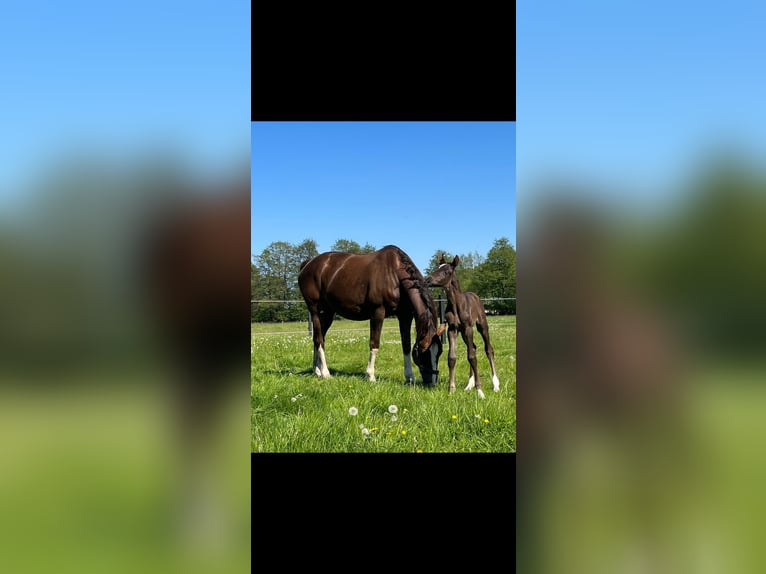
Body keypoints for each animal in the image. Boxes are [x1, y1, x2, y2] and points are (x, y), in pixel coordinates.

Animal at [298, 246, 448, 388]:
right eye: (424, 351)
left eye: (439, 352)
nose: (432, 382)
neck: (394, 274)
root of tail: (308, 264)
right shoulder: (378, 312)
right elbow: (374, 343)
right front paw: (370, 376)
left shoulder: (405, 316)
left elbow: (406, 345)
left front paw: (410, 377)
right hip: (315, 310)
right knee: (319, 339)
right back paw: (325, 373)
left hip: (328, 312)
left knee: (318, 338)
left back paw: (317, 370)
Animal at [426, 254, 504, 398]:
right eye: (437, 268)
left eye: (447, 271)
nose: (427, 280)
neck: (456, 304)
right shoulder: (452, 329)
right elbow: (452, 357)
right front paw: (452, 389)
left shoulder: (468, 328)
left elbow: (472, 357)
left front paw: (480, 391)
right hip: (462, 332)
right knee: (473, 347)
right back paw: (469, 385)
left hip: (481, 326)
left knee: (488, 349)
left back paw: (495, 384)